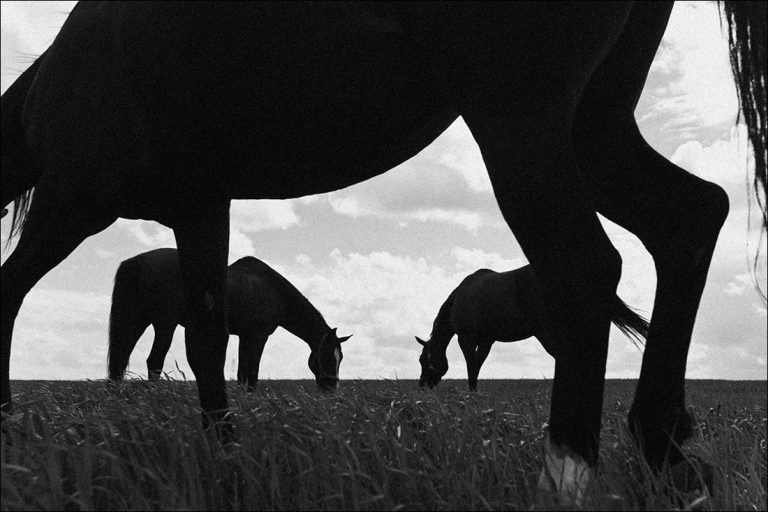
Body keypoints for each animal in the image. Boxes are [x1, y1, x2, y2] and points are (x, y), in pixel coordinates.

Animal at [107, 247, 352, 388]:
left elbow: (243, 374)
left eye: (340, 357)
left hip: (137, 320)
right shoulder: (257, 336)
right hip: (165, 324)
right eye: (327, 355)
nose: (332, 387)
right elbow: (250, 374)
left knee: (119, 361)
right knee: (154, 362)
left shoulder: (244, 336)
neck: (273, 290)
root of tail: (136, 262)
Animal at [414, 266, 648, 390]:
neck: (459, 299)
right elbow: (478, 366)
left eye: (423, 360)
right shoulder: (487, 341)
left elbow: (471, 366)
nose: (423, 385)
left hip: (546, 332)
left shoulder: (466, 339)